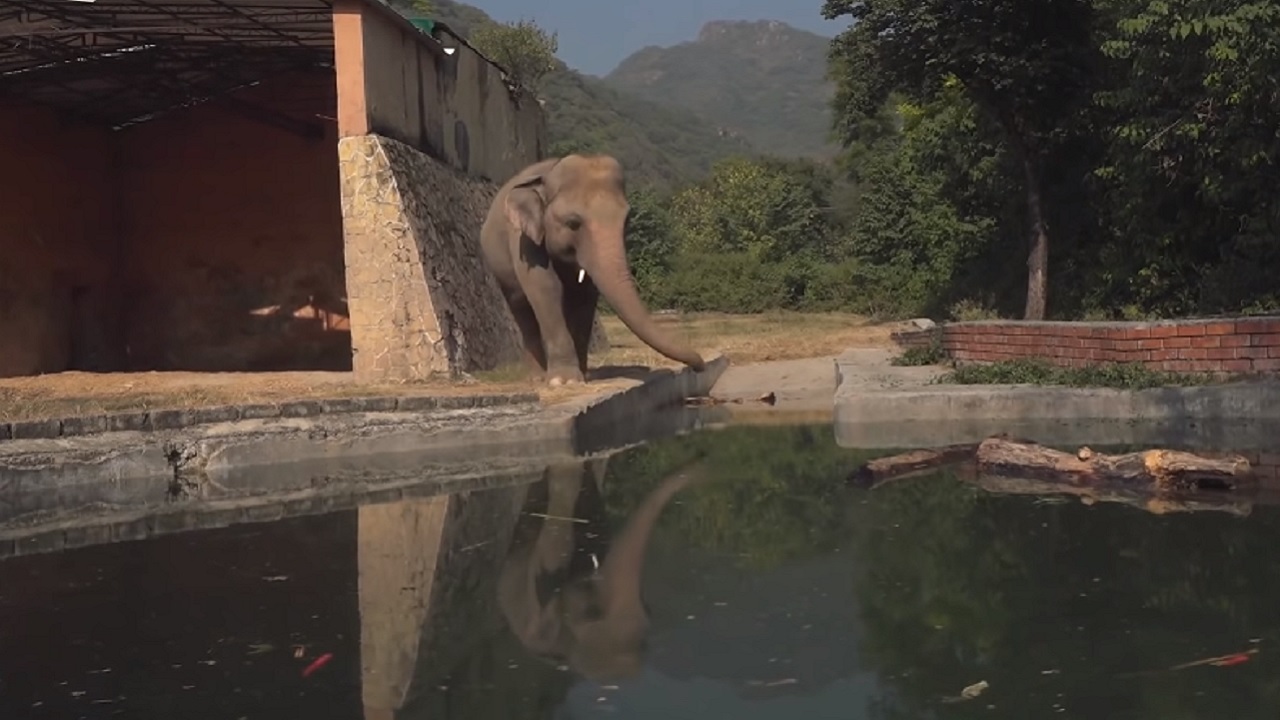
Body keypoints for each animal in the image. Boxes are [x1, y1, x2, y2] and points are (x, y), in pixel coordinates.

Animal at [480, 154, 706, 386]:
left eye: (627, 220)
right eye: (573, 223)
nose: (700, 367)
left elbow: (585, 296)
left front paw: (582, 376)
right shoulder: (524, 241)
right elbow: (546, 289)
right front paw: (563, 381)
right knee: (522, 310)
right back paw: (538, 378)